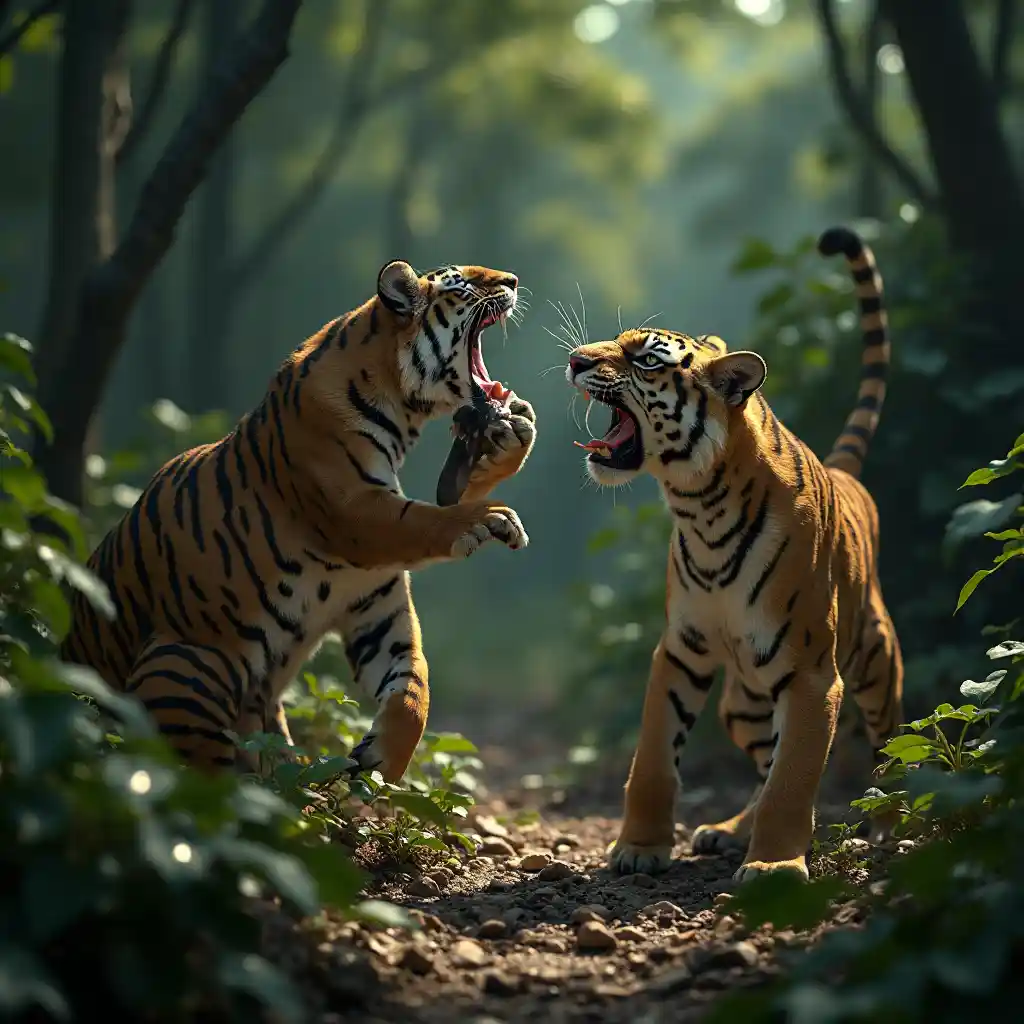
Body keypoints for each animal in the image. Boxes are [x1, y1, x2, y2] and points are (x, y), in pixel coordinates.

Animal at [61, 260, 537, 782]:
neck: (400, 409)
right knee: (197, 779)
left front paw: (377, 765)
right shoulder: (356, 513)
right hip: (184, 663)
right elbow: (425, 519)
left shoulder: (377, 610)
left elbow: (416, 687)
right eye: (464, 282)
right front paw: (488, 518)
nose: (513, 281)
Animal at [564, 226, 903, 881]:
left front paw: (773, 869)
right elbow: (653, 758)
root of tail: (845, 473)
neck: (699, 505)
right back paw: (727, 832)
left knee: (889, 745)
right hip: (743, 705)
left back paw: (887, 828)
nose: (576, 361)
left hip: (876, 661)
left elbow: (794, 780)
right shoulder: (680, 648)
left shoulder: (811, 675)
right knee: (765, 762)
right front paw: (639, 848)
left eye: (645, 359)